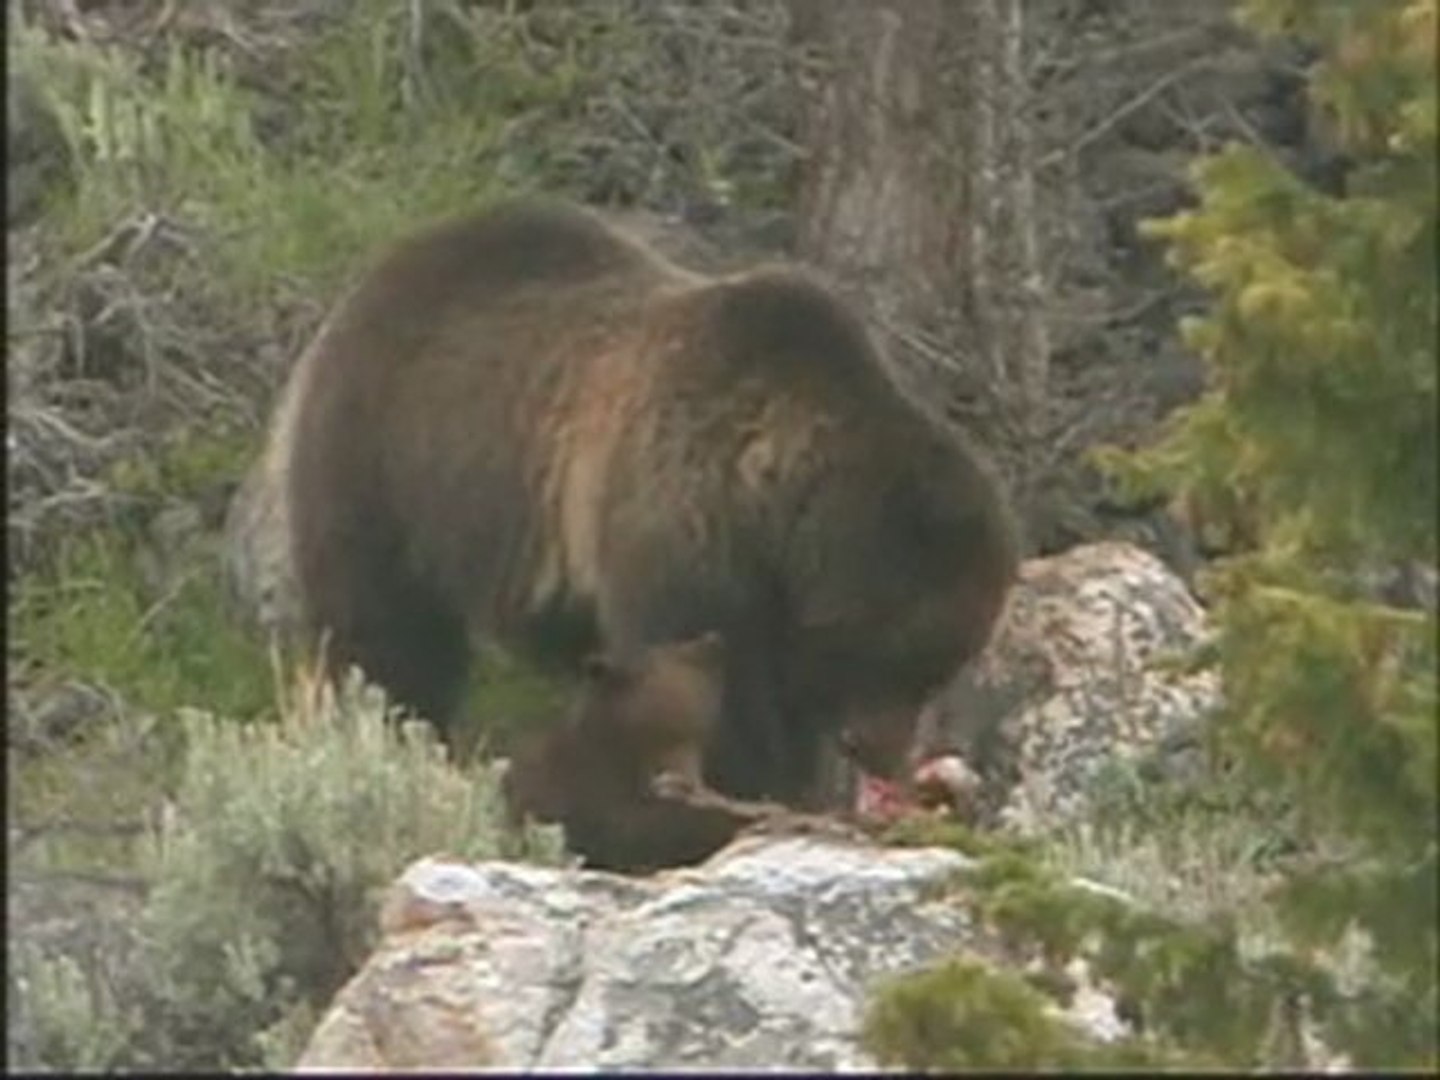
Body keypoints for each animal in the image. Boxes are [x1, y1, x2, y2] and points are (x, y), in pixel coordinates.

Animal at [285, 197, 1020, 811]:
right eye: (902, 652)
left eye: (941, 667)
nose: (883, 753)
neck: (771, 509)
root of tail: (381, 272)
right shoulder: (679, 531)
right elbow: (707, 681)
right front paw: (745, 779)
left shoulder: (772, 599)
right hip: (392, 468)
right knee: (382, 634)